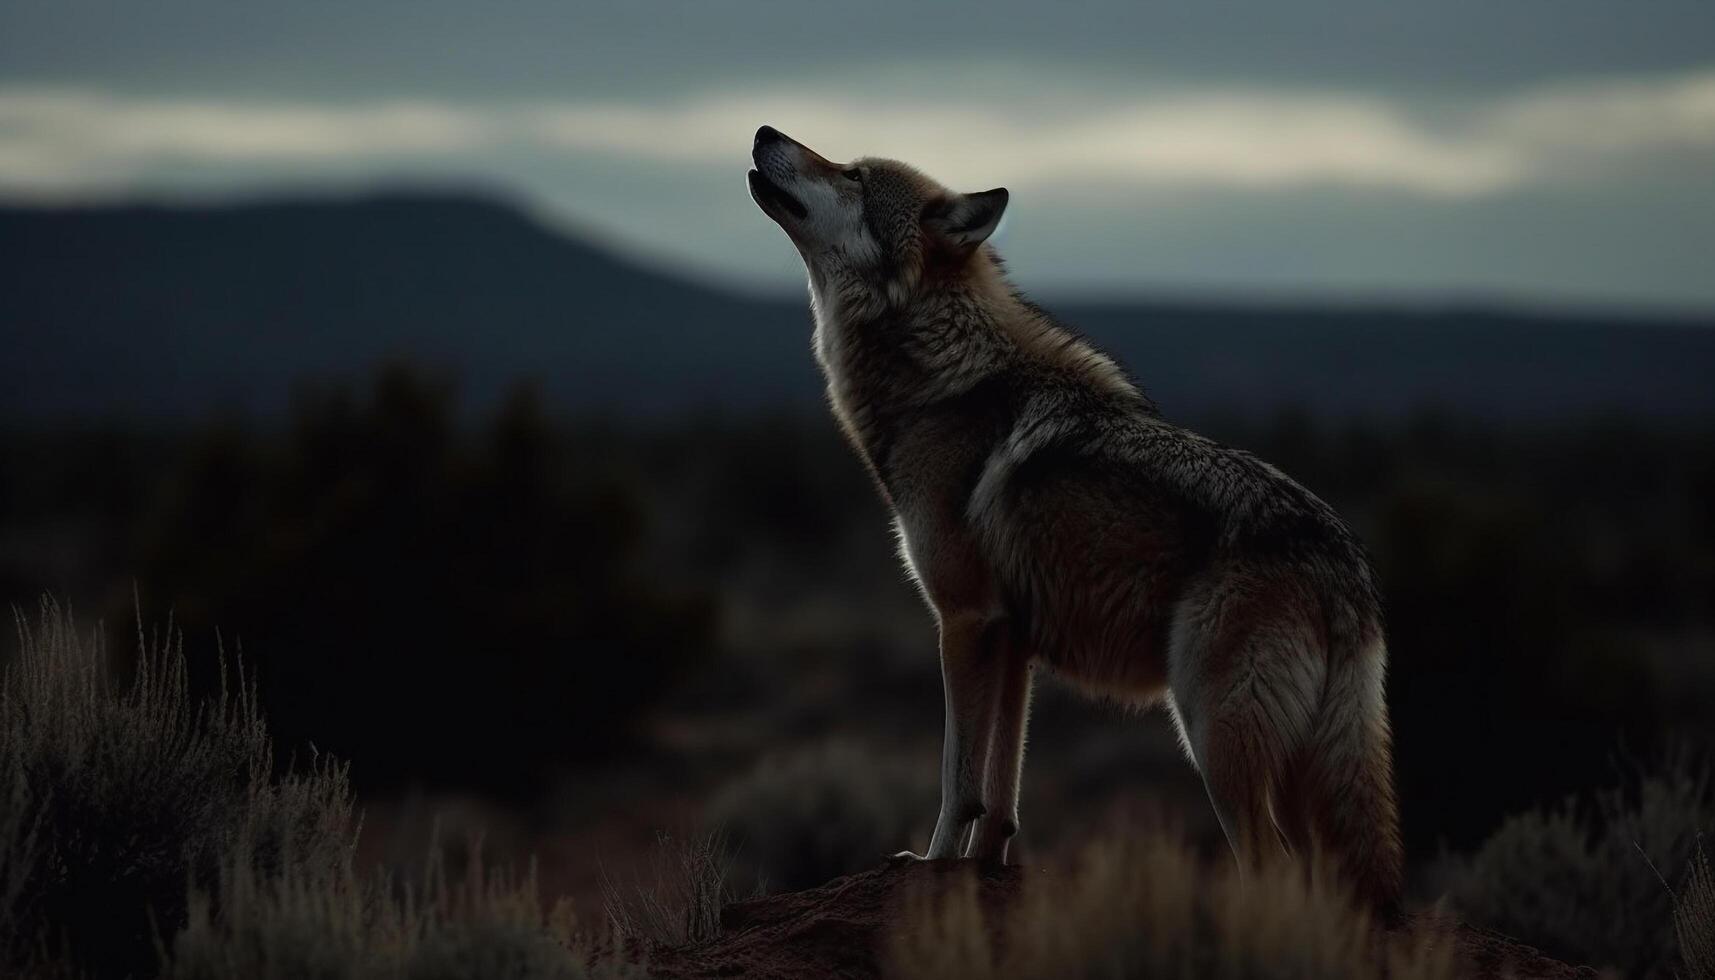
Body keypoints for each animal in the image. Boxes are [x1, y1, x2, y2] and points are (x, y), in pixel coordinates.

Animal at [751, 128, 1406, 913]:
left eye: (852, 174)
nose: (762, 131)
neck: (938, 382)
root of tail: (1344, 563)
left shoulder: (963, 622)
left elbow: (956, 780)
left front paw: (929, 866)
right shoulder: (1013, 640)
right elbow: (1000, 791)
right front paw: (986, 869)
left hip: (1211, 736)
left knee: (1268, 865)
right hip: (1293, 768)